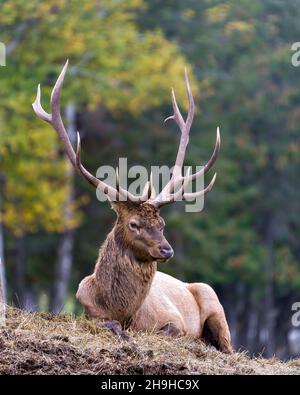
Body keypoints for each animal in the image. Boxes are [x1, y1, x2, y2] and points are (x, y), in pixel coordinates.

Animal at [33, 61, 234, 352]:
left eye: (162, 223)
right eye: (134, 224)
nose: (167, 249)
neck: (124, 311)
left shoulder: (175, 321)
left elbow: (169, 332)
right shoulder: (89, 311)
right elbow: (109, 325)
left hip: (213, 299)